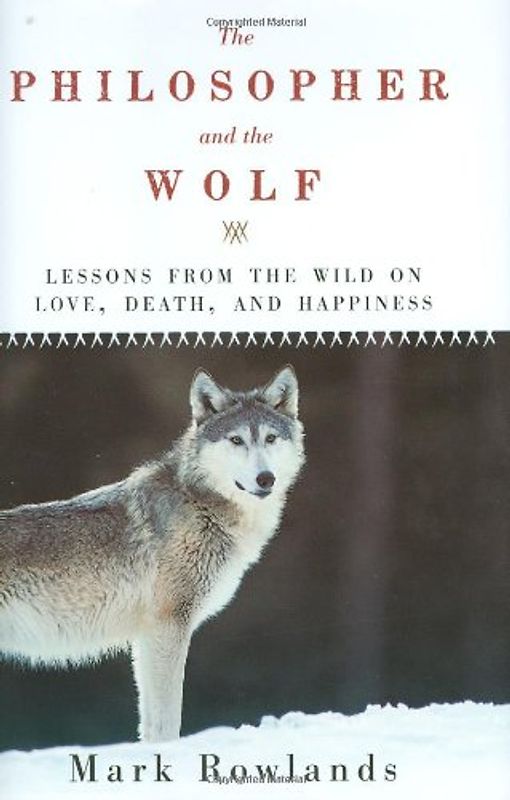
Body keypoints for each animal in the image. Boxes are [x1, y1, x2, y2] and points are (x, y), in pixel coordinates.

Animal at [0, 366, 304, 742]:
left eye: (270, 439)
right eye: (236, 440)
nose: (266, 478)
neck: (199, 503)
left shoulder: (146, 637)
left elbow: (149, 723)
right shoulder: (168, 625)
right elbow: (167, 720)